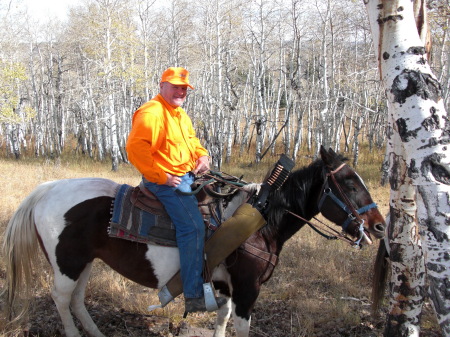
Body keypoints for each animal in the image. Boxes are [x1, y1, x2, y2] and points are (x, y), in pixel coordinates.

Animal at [1, 147, 384, 336]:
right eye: (349, 183)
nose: (379, 227)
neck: (260, 220)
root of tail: (46, 190)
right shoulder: (247, 290)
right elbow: (240, 326)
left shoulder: (226, 287)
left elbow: (222, 320)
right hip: (67, 264)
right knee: (62, 300)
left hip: (84, 264)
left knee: (77, 301)